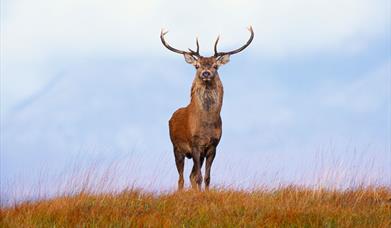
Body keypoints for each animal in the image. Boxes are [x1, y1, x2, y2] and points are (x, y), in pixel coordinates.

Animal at [161, 27, 256, 191]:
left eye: (215, 66)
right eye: (197, 66)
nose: (206, 73)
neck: (206, 126)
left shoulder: (213, 147)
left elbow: (206, 177)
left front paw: (204, 192)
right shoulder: (194, 144)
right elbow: (198, 177)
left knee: (190, 175)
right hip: (176, 148)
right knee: (181, 178)